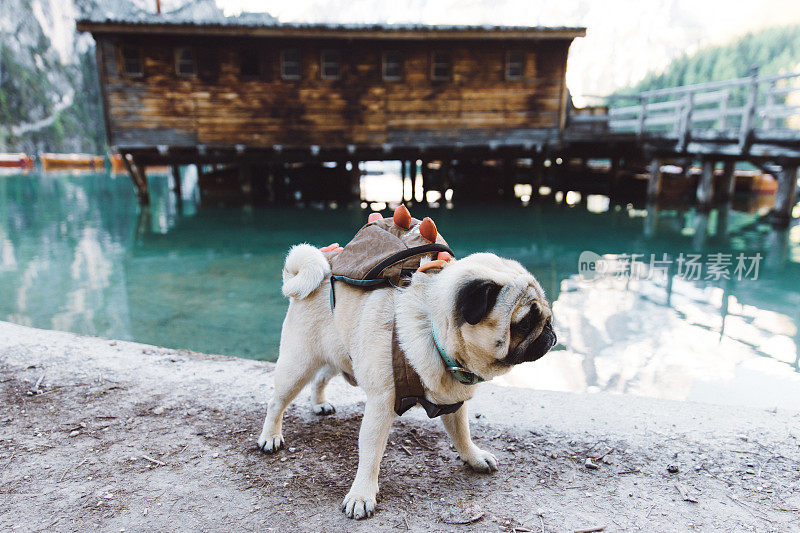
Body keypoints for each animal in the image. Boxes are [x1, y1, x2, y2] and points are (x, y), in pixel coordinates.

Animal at [258, 244, 556, 520]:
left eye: (544, 314)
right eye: (525, 322)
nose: (551, 329)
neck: (433, 329)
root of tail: (322, 265)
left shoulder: (453, 400)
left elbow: (462, 434)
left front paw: (474, 457)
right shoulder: (380, 407)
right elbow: (370, 455)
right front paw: (361, 495)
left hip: (341, 354)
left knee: (321, 377)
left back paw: (319, 403)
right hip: (299, 364)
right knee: (277, 401)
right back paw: (270, 436)